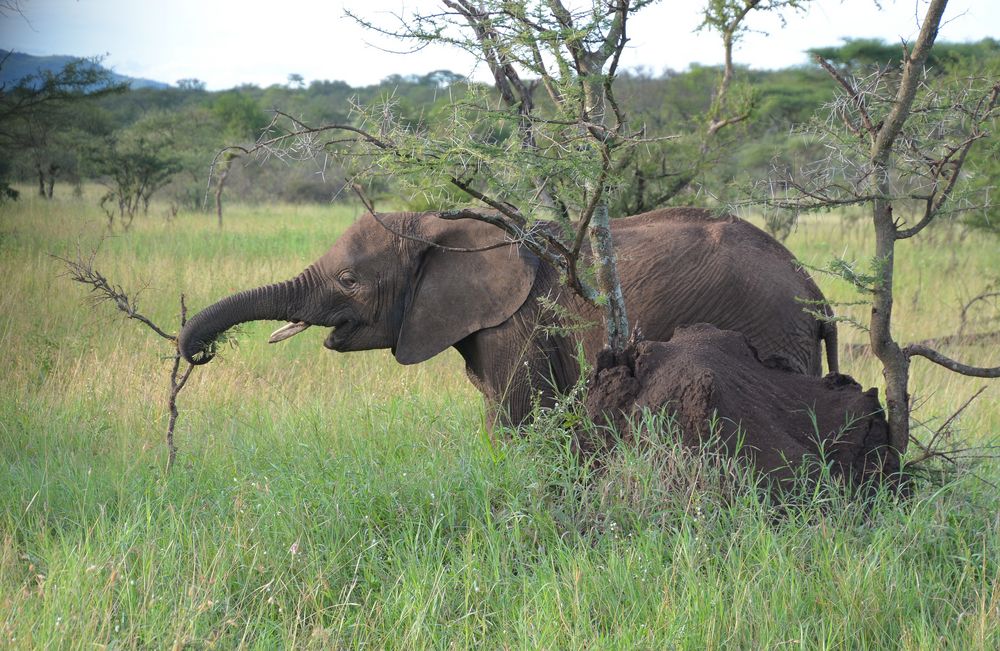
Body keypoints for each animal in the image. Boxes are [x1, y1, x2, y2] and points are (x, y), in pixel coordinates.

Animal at [178, 208, 836, 428]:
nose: (200, 352)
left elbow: (515, 419)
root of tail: (814, 289)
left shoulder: (519, 325)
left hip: (770, 330)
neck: (441, 223)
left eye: (348, 280)